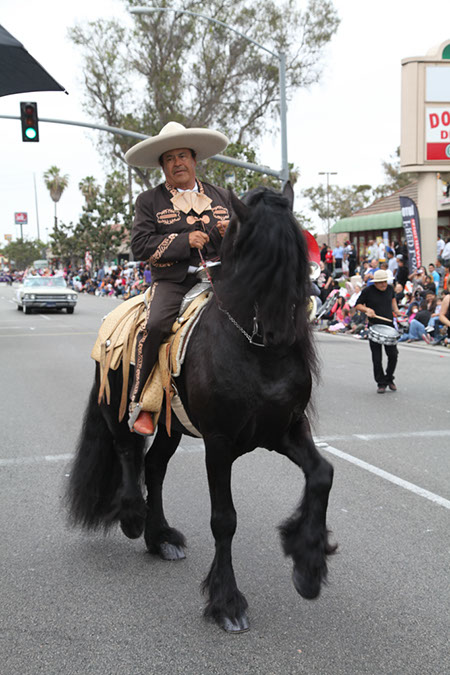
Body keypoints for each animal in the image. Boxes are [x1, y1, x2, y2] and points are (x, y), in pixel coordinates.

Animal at [66, 184, 334, 632]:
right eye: (257, 259)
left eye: (300, 257)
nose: (281, 336)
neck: (256, 352)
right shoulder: (219, 442)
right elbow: (224, 519)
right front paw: (227, 602)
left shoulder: (284, 430)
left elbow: (322, 475)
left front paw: (308, 566)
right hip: (117, 409)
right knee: (128, 454)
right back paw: (133, 517)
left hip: (171, 427)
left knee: (154, 466)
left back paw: (160, 538)